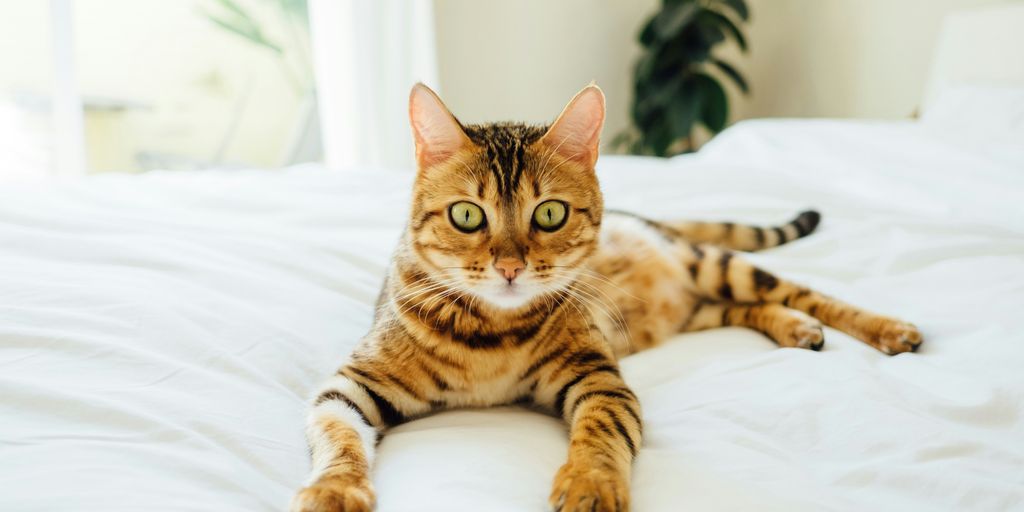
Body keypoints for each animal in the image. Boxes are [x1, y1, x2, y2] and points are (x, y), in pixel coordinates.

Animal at [288, 83, 921, 512]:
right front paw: (333, 490)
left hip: (716, 265)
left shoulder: (598, 377)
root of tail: (653, 218)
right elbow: (338, 437)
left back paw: (882, 328)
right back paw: (796, 329)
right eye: (467, 215)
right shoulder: (350, 384)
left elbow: (600, 433)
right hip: (696, 306)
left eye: (550, 213)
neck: (493, 334)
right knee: (746, 309)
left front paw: (590, 483)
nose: (511, 266)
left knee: (804, 294)